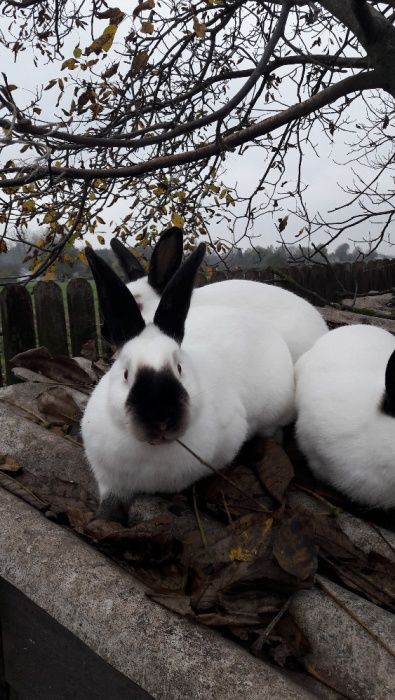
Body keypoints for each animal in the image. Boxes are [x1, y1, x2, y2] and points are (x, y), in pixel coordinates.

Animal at [82, 241, 296, 520]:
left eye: (179, 368)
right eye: (126, 373)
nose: (160, 417)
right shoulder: (109, 479)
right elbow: (109, 502)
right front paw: (101, 518)